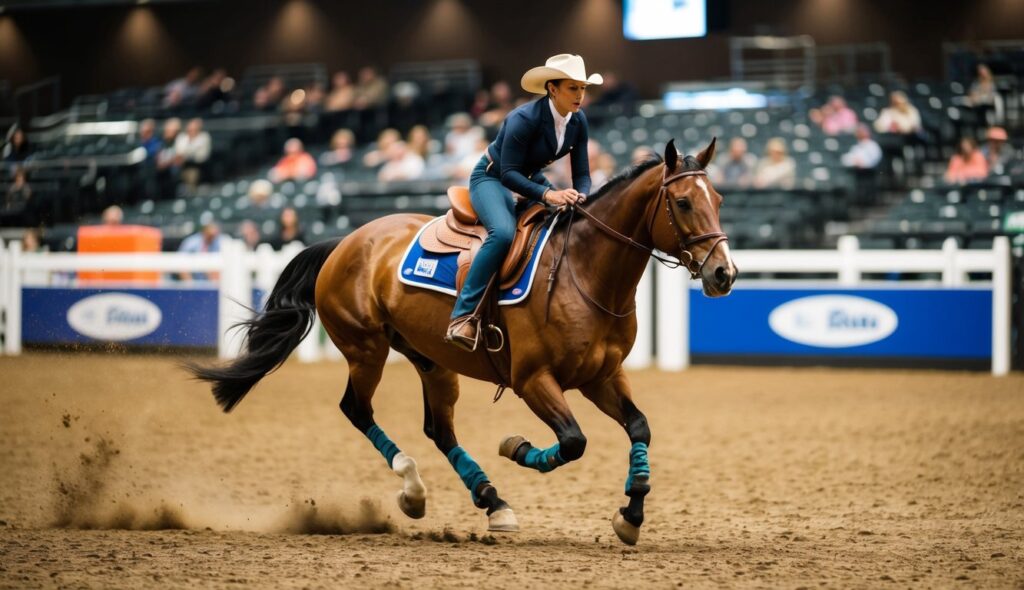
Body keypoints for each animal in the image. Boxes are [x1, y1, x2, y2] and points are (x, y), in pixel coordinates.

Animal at [188, 138, 737, 544]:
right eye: (683, 202)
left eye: (719, 201)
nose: (724, 274)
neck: (584, 271)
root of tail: (345, 241)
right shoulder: (534, 380)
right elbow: (573, 442)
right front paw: (516, 446)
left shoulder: (602, 376)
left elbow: (639, 427)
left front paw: (631, 513)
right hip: (366, 350)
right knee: (357, 409)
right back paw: (414, 489)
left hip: (432, 360)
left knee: (439, 429)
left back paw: (491, 501)